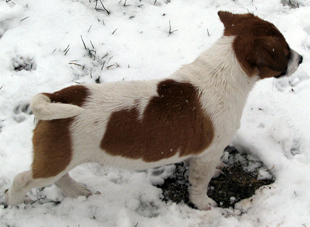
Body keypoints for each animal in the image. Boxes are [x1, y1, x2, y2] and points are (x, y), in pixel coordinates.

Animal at [4, 10, 302, 209]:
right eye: (284, 50)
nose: (301, 58)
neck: (222, 69)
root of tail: (53, 96)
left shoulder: (201, 152)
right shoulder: (210, 151)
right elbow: (199, 181)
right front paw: (203, 204)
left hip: (62, 158)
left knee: (61, 178)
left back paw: (77, 191)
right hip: (55, 160)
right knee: (23, 180)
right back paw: (16, 203)